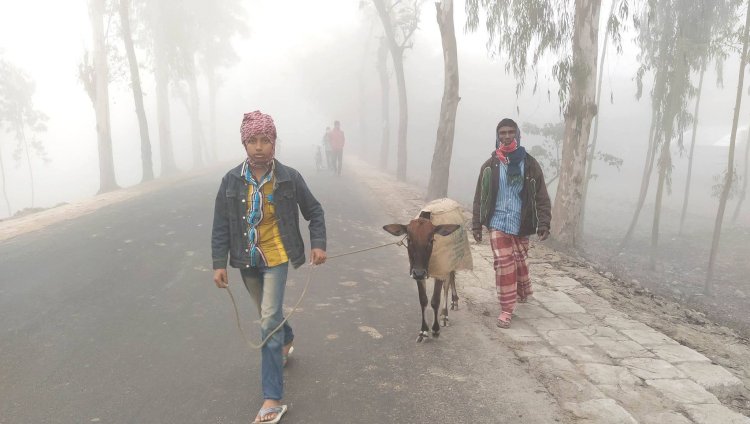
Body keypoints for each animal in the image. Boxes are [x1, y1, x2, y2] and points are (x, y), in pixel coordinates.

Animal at [384, 210, 462, 342]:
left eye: (431, 240)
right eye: (409, 239)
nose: (420, 273)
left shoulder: (440, 271)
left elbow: (435, 300)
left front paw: (435, 330)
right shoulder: (417, 274)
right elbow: (423, 300)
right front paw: (423, 331)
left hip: (451, 260)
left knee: (448, 281)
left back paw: (445, 313)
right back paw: (453, 302)